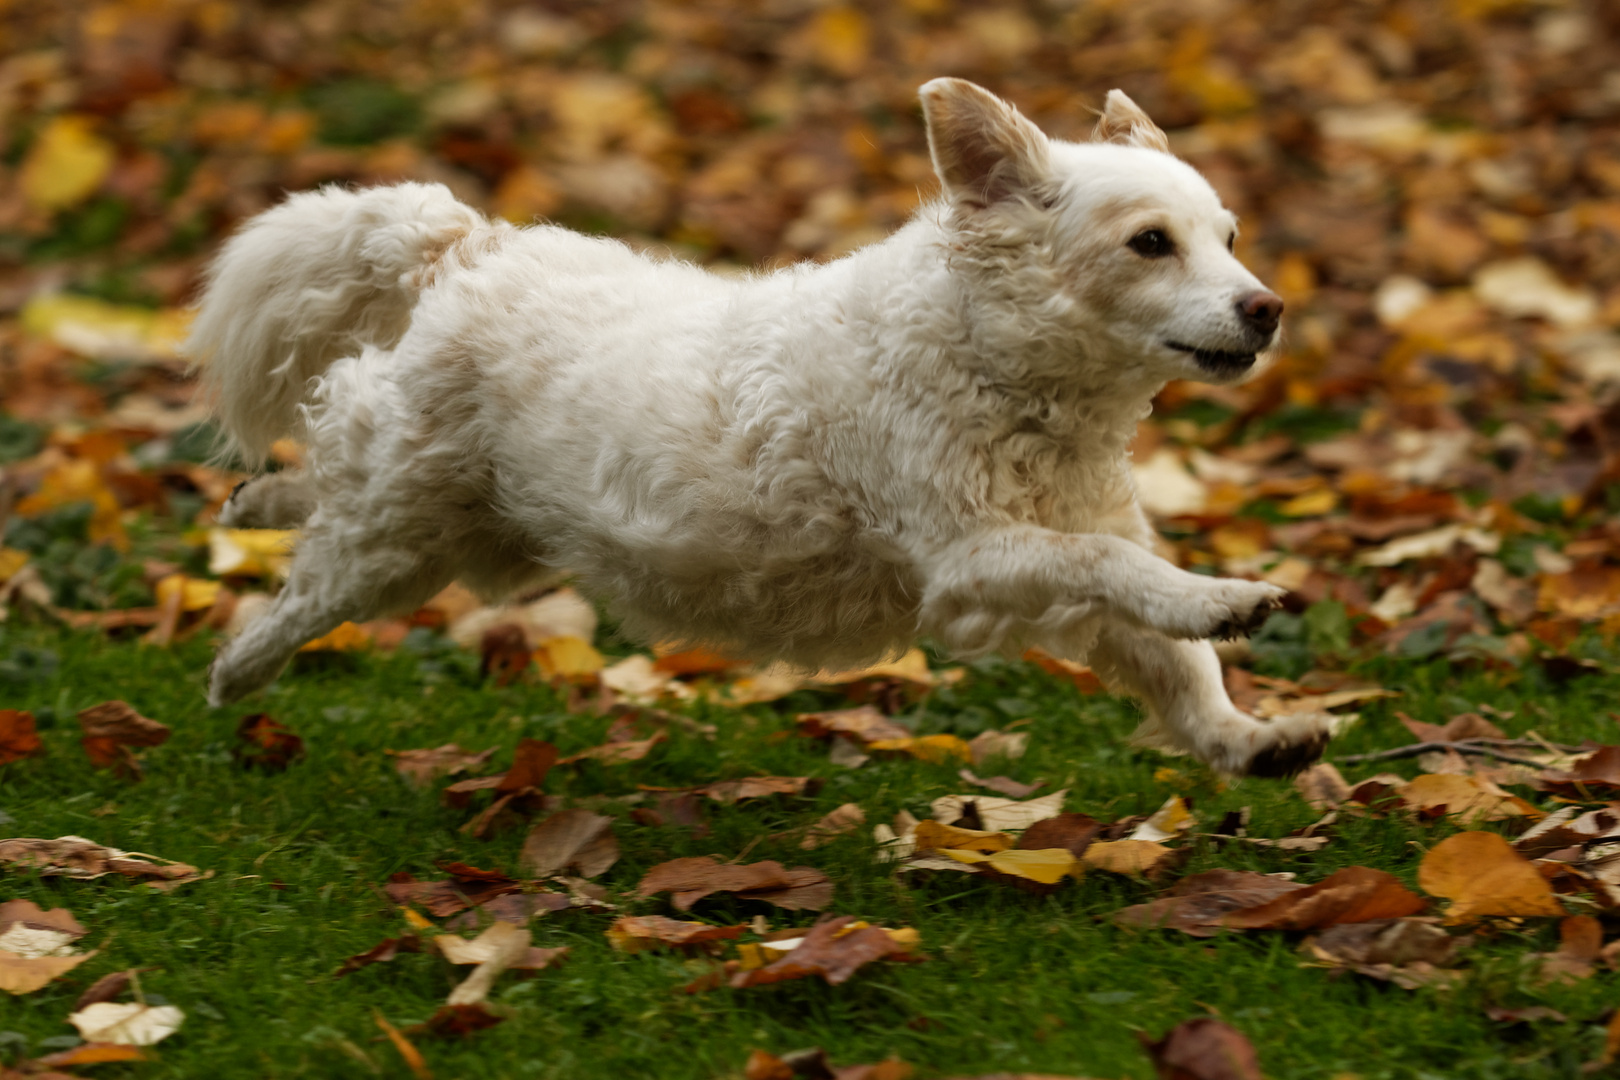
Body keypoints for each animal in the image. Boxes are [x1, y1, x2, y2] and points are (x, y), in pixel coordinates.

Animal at [186, 80, 1328, 780]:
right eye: (1150, 244)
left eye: (1229, 237)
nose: (1268, 307)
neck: (1004, 375)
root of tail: (471, 246)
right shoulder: (969, 561)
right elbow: (1122, 574)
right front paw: (1223, 597)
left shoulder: (1054, 558)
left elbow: (1172, 658)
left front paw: (1245, 738)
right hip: (395, 539)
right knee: (311, 569)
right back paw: (235, 670)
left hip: (470, 538)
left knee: (324, 481)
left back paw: (255, 499)